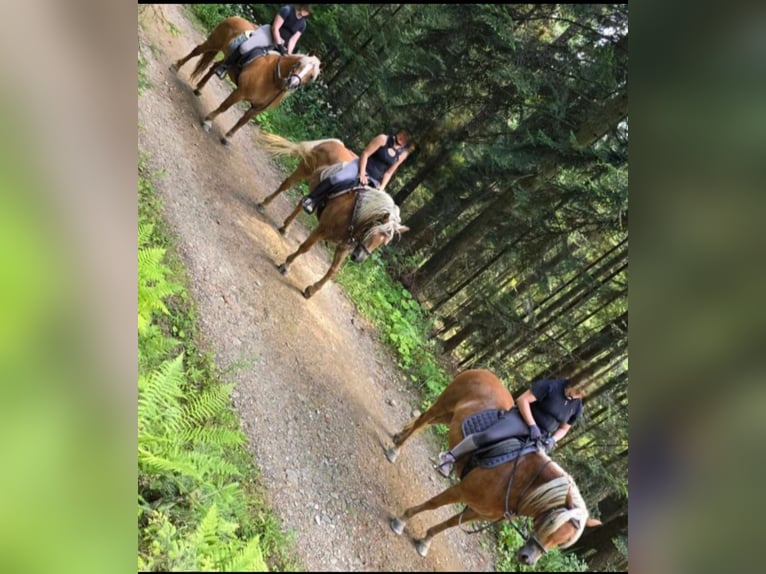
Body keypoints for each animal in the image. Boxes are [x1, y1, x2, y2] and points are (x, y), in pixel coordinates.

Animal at [274, 188, 408, 300]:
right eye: (372, 231)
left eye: (383, 243)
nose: (359, 258)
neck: (354, 218)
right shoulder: (321, 230)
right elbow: (304, 248)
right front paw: (286, 266)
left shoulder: (344, 247)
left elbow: (333, 270)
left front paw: (311, 290)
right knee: (290, 191)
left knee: (301, 202)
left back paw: (285, 227)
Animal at [388, 368, 604, 568]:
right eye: (550, 522)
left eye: (564, 541)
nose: (527, 559)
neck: (519, 481)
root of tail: (483, 371)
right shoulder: (460, 490)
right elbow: (432, 504)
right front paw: (401, 520)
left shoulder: (478, 511)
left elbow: (449, 524)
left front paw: (425, 541)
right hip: (444, 406)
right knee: (422, 422)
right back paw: (397, 450)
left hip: (449, 416)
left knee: (424, 423)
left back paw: (397, 438)